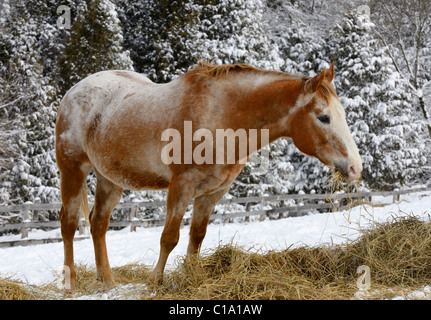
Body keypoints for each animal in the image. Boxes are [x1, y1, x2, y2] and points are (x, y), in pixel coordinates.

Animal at [55, 61, 362, 288]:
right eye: (323, 117)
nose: (355, 167)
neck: (222, 116)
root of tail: (75, 91)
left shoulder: (213, 192)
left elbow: (197, 237)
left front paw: (190, 278)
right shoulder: (182, 186)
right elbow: (169, 238)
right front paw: (155, 282)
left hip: (110, 179)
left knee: (98, 224)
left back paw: (107, 281)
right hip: (73, 170)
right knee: (68, 224)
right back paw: (70, 283)